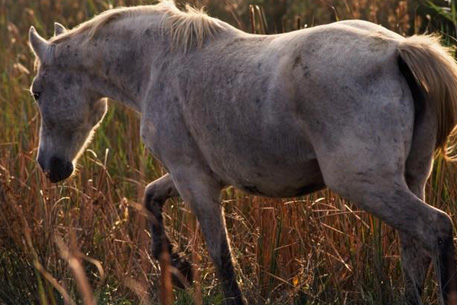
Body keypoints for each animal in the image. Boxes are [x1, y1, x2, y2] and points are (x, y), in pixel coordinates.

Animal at [28, 1, 456, 302]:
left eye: (36, 92)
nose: (50, 167)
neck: (158, 63)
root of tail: (397, 50)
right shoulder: (192, 175)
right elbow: (150, 198)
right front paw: (176, 266)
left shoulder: (195, 182)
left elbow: (223, 262)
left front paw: (180, 266)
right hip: (409, 180)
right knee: (414, 252)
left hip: (368, 185)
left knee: (437, 229)